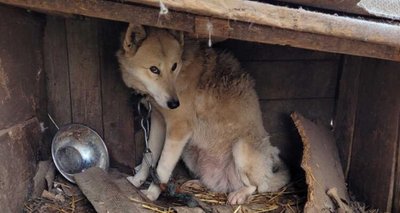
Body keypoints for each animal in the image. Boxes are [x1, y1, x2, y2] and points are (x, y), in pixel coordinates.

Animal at [117, 23, 290, 205]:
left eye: (174, 66)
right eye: (154, 69)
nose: (175, 104)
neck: (181, 73)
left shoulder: (179, 129)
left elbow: (162, 168)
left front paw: (152, 194)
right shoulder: (159, 122)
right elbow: (147, 157)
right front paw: (137, 181)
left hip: (240, 148)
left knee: (257, 186)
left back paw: (239, 195)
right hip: (189, 152)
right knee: (214, 184)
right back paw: (194, 184)